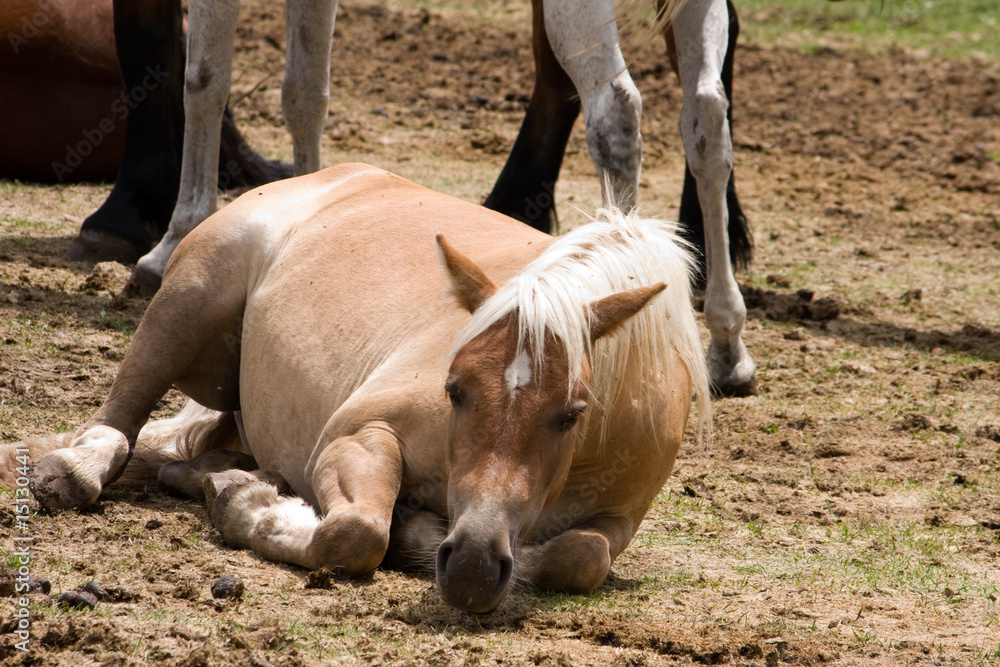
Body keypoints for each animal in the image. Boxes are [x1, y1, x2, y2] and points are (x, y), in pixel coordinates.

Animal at [20, 163, 710, 613]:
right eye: (454, 390)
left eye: (571, 414)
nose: (473, 565)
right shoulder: (359, 432)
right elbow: (354, 533)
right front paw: (252, 506)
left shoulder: (616, 519)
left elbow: (579, 557)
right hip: (187, 302)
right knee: (119, 418)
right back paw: (81, 472)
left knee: (192, 452)